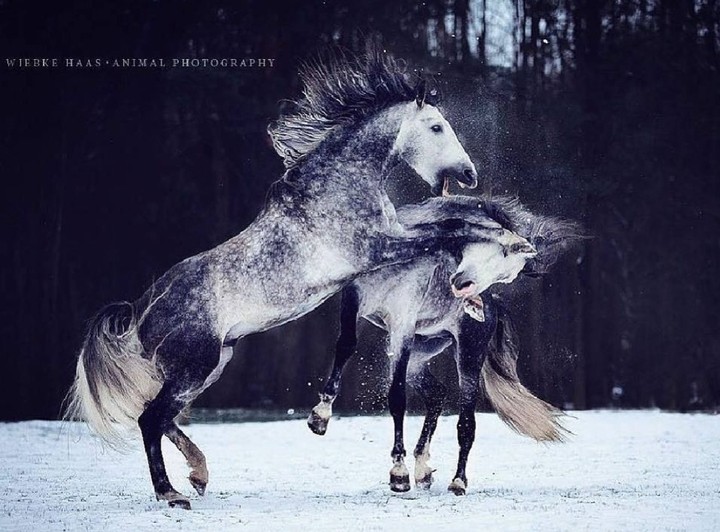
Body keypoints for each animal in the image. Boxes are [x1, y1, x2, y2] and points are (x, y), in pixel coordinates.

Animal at [63, 48, 514, 509]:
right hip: (195, 366)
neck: (338, 186)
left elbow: (449, 228)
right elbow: (448, 233)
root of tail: (140, 310)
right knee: (150, 419)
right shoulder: (379, 246)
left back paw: (199, 473)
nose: (469, 174)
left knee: (163, 417)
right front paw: (505, 240)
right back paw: (170, 492)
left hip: (210, 366)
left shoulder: (389, 241)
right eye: (436, 126)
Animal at [307, 195, 580, 494]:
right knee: (437, 395)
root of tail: (493, 306)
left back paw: (457, 481)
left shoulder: (402, 322)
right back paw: (423, 469)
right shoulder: (354, 297)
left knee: (466, 424)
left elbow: (397, 397)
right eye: (504, 252)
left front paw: (399, 473)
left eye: (507, 273)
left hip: (468, 355)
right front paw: (320, 417)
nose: (465, 290)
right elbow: (346, 345)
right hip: (420, 355)